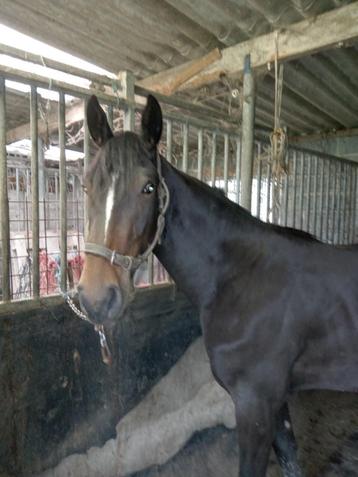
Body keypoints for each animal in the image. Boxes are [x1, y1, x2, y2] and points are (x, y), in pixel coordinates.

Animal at [77, 95, 358, 474]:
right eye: (86, 184)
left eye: (148, 187)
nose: (96, 299)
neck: (242, 276)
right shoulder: (275, 400)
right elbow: (289, 456)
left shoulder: (254, 403)